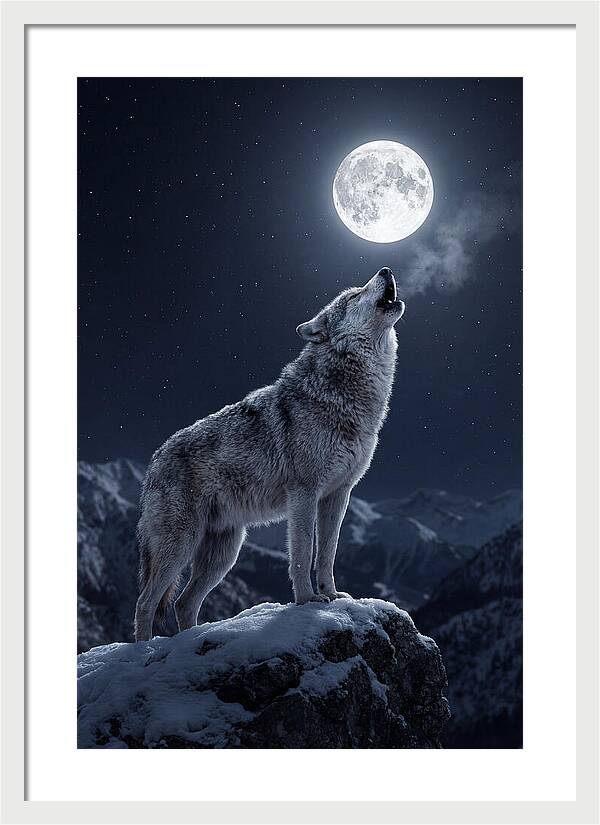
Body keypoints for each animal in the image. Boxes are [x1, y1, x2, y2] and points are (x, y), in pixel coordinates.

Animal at [134, 266, 405, 641]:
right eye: (353, 295)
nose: (386, 270)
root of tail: (154, 460)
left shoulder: (338, 495)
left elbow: (328, 553)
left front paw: (333, 595)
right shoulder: (304, 493)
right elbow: (303, 552)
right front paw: (307, 600)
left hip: (225, 553)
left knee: (183, 603)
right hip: (180, 546)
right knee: (145, 602)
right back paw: (142, 650)